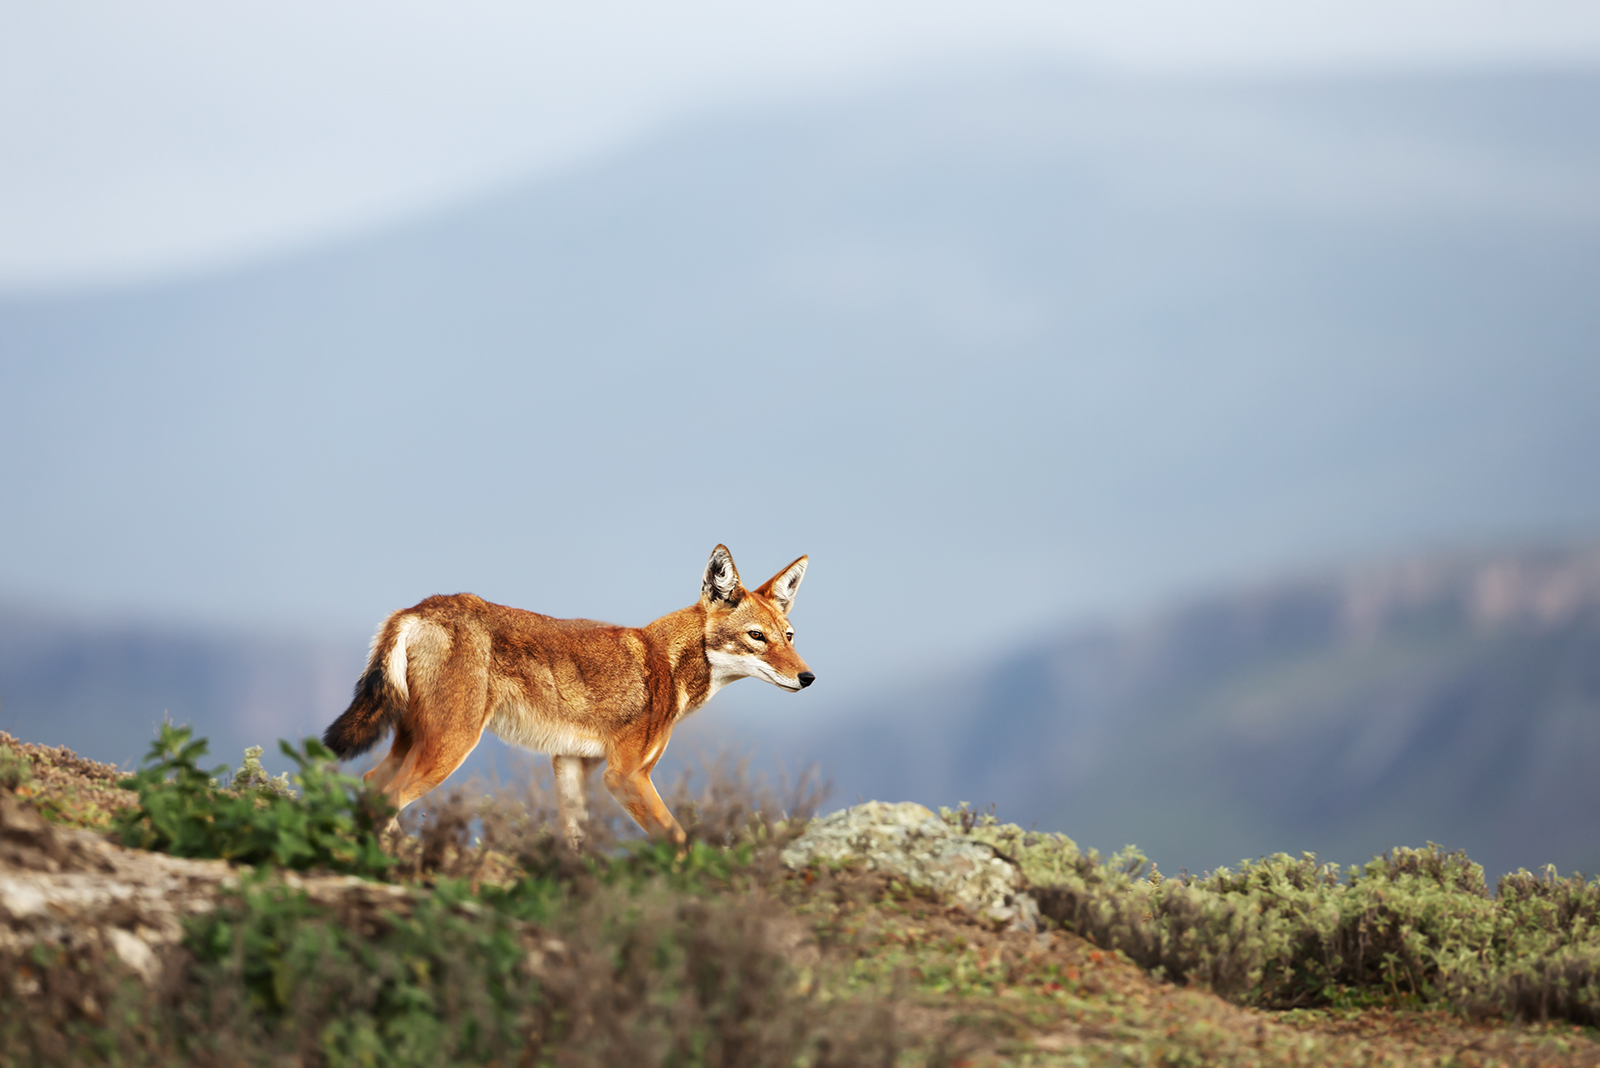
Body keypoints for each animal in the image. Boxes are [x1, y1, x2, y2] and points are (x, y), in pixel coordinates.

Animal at [320, 546, 812, 844]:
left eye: (788, 636)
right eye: (756, 637)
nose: (808, 678)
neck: (669, 664)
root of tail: (417, 608)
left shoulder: (572, 765)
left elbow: (578, 844)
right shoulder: (624, 776)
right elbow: (678, 840)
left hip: (414, 743)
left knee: (370, 785)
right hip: (449, 748)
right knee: (387, 798)